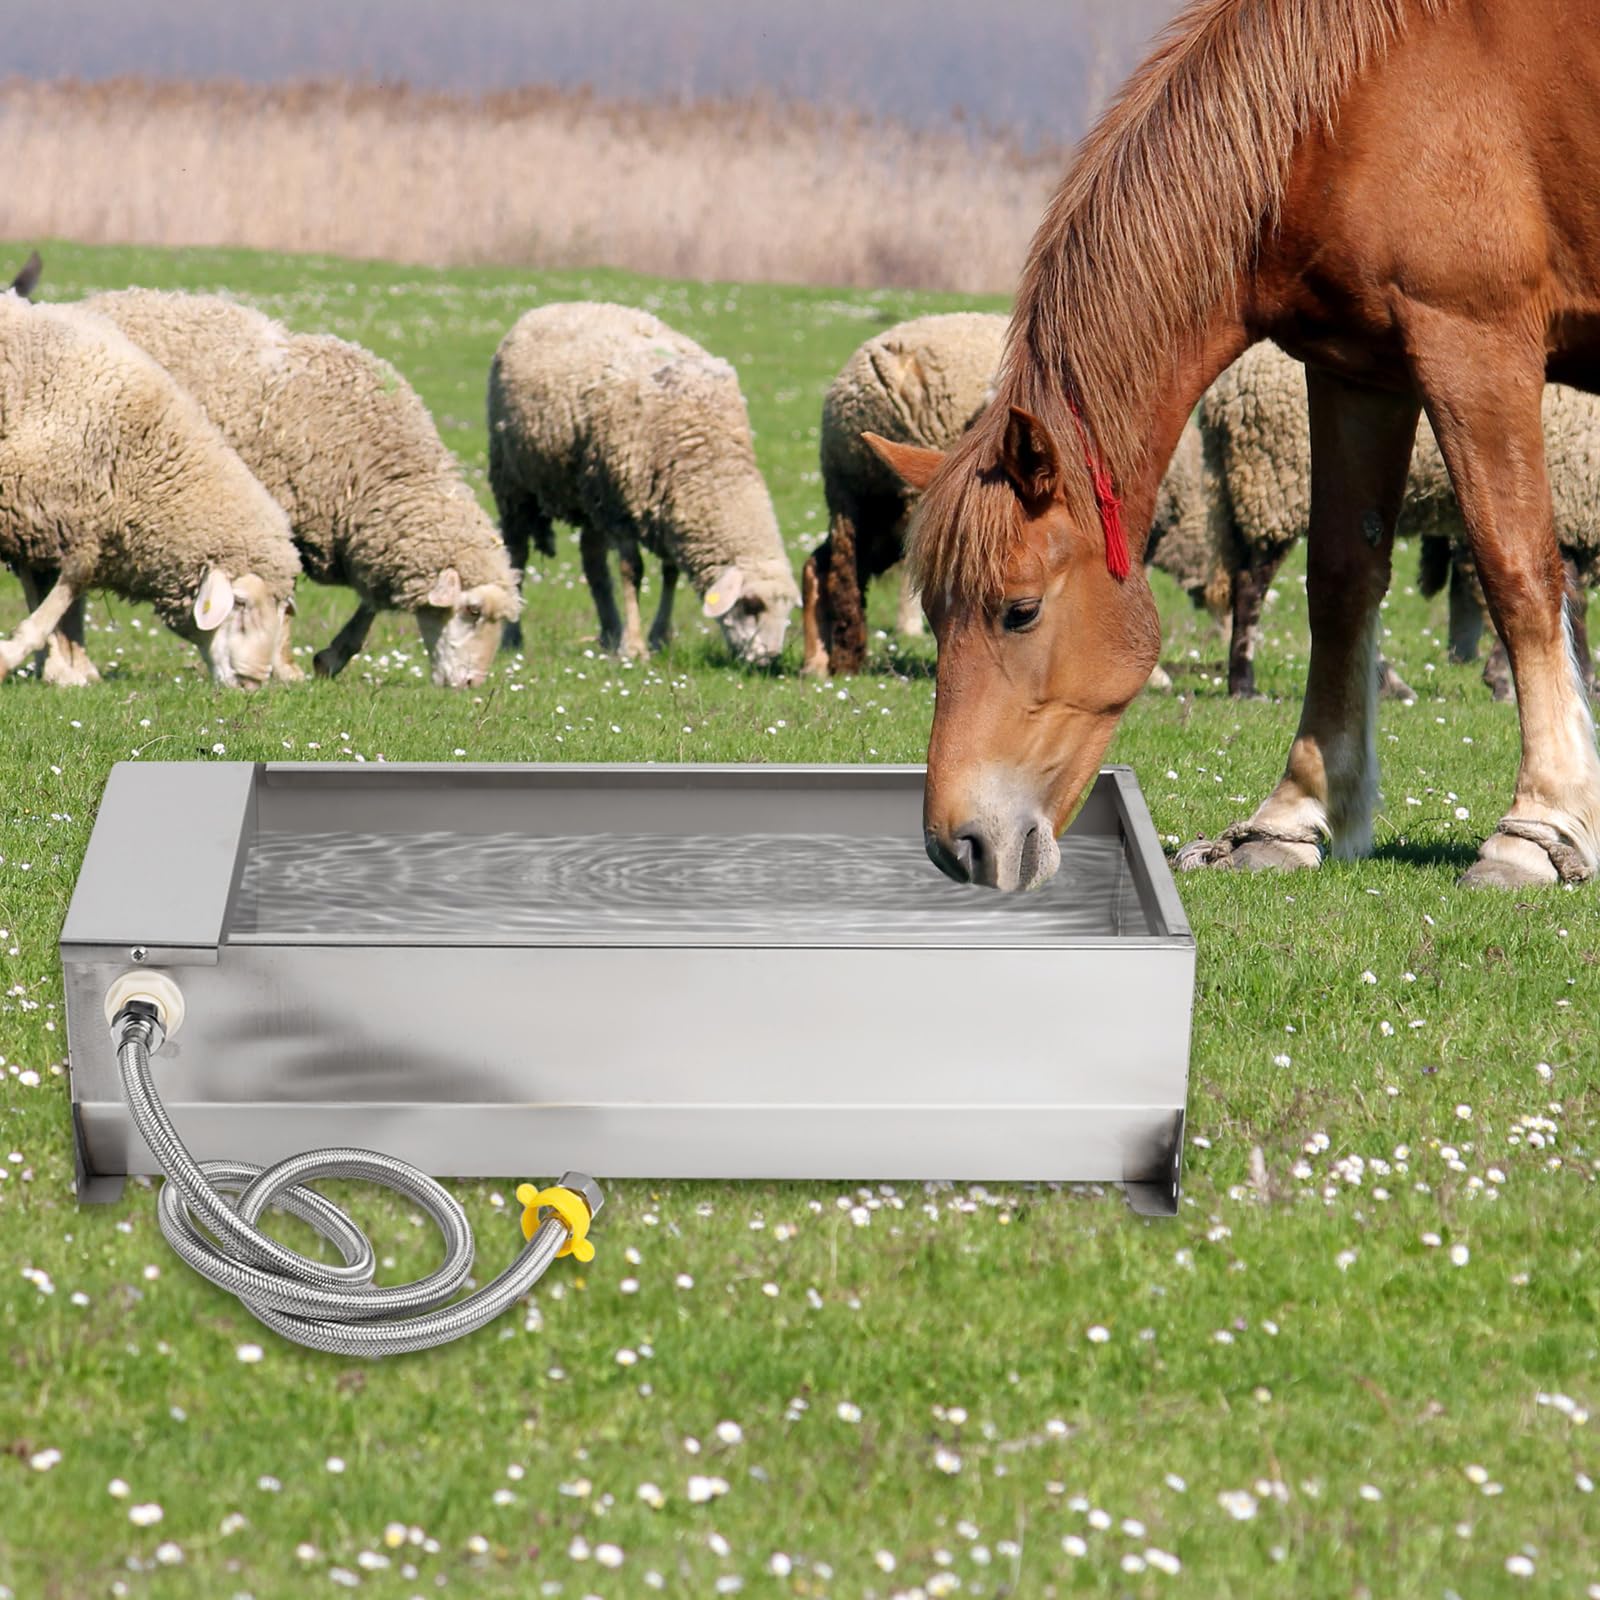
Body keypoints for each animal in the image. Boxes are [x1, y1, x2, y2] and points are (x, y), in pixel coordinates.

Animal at [0, 293, 299, 687]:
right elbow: (71, 583)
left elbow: (61, 586)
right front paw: (26, 659)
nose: (253, 682)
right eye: (241, 602)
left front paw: (60, 669)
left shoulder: (49, 519)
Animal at [78, 289, 520, 689]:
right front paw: (286, 667)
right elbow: (285, 600)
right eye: (473, 611)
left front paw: (333, 656)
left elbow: (367, 605)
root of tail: (99, 300)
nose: (471, 684)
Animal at [487, 301, 798, 667]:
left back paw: (609, 631)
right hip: (514, 483)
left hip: (590, 491)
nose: (769, 659)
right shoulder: (621, 507)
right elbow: (631, 572)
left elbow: (670, 574)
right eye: (751, 606)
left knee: (593, 564)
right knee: (517, 557)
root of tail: (550, 307)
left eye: (786, 613)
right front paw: (634, 647)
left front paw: (659, 638)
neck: (706, 453)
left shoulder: (669, 510)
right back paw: (513, 637)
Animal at [1146, 341, 1600, 700]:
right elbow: (1566, 599)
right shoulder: (1568, 504)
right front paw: (1547, 680)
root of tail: (1224, 395)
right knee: (1252, 588)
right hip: (1274, 487)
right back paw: (1247, 684)